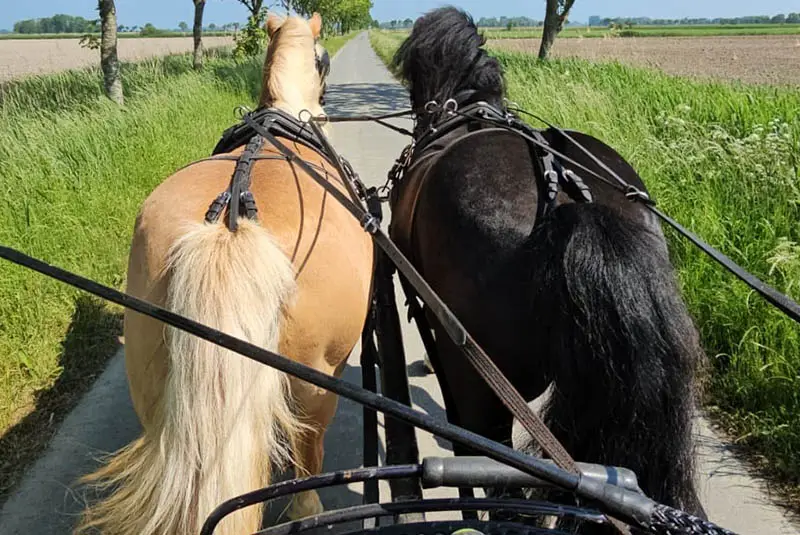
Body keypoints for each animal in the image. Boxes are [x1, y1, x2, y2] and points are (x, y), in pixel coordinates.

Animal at [75, 12, 376, 535]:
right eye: (324, 59)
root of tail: (229, 222)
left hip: (151, 385)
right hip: (318, 383)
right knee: (307, 455)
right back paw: (308, 508)